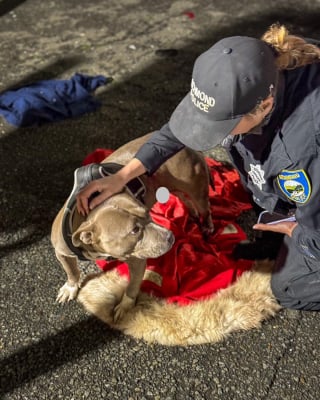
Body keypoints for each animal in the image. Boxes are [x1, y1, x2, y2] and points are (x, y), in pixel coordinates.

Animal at [51, 133, 214, 320]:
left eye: (147, 213)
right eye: (134, 230)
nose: (170, 237)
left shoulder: (137, 260)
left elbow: (132, 286)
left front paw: (125, 306)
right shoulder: (61, 252)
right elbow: (71, 271)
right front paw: (70, 287)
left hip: (197, 190)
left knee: (204, 207)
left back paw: (207, 226)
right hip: (176, 188)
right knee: (186, 200)